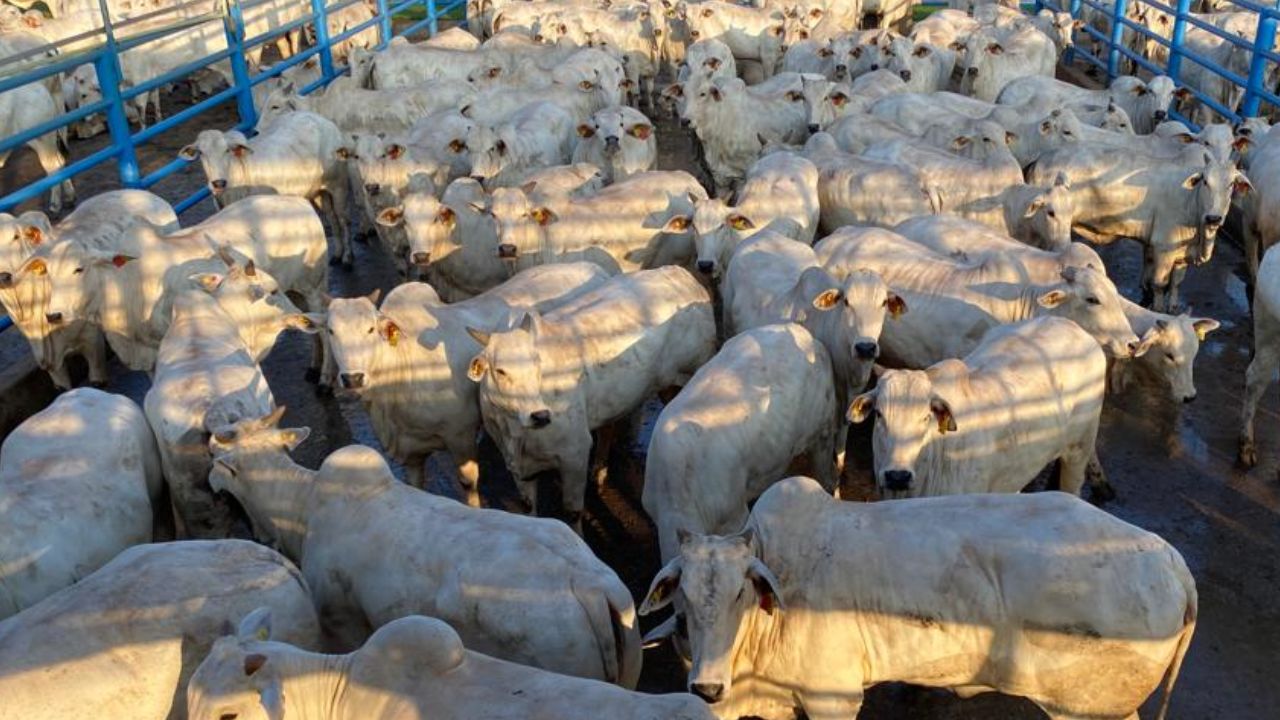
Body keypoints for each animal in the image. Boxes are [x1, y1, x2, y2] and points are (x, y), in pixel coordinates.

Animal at [468, 266, 716, 530]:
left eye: (538, 364)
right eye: (500, 370)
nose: (540, 416)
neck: (513, 432)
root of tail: (679, 273)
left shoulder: (574, 453)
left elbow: (572, 512)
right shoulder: (518, 467)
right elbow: (528, 508)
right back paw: (599, 472)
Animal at [640, 476, 1198, 717]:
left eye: (741, 594)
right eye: (682, 605)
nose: (706, 687)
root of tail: (1171, 560)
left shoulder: (832, 698)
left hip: (1090, 710)